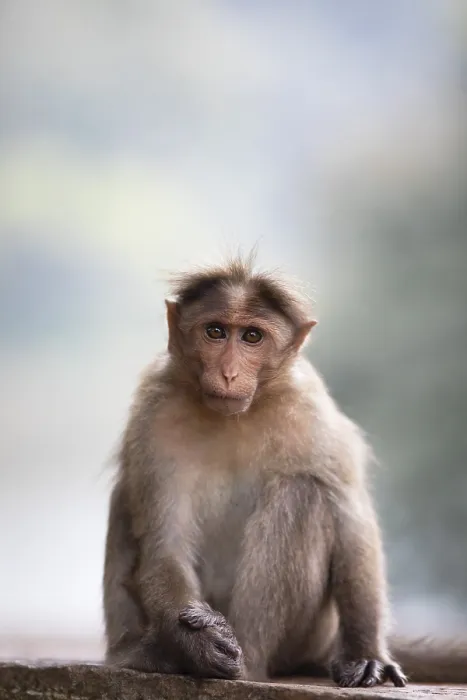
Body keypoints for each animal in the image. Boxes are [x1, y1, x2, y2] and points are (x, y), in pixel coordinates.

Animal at [103, 255, 467, 688]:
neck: (236, 418)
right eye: (215, 331)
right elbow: (164, 540)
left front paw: (366, 654)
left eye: (252, 337)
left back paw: (248, 667)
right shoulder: (154, 412)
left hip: (306, 637)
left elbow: (352, 521)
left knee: (304, 491)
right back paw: (153, 653)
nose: (228, 373)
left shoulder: (310, 409)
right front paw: (196, 642)